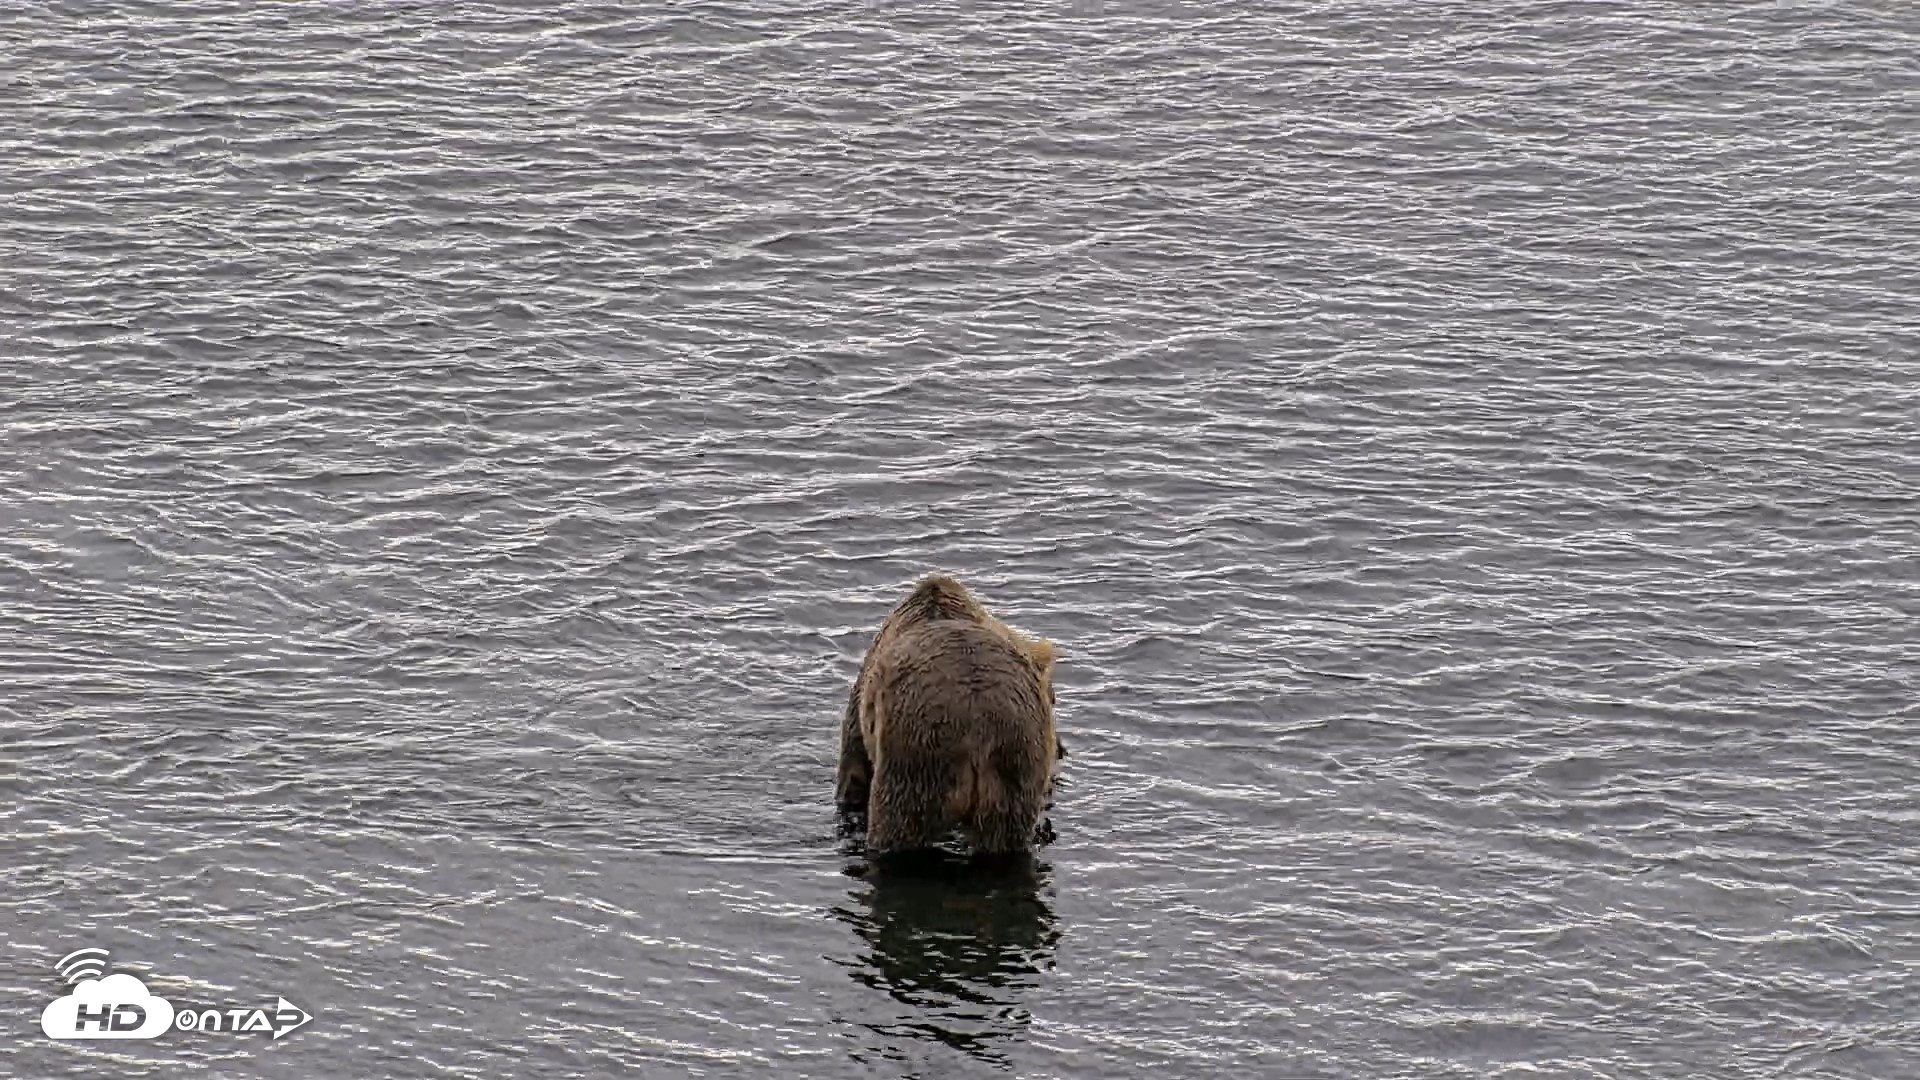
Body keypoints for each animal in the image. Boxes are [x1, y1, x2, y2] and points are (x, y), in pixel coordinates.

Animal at [836, 574, 1063, 858]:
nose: (1060, 748)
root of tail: (978, 734)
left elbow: (853, 770)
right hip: (1014, 765)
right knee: (1004, 838)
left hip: (917, 758)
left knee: (896, 823)